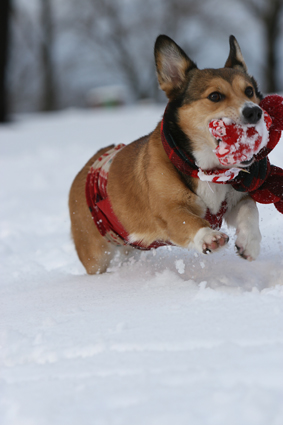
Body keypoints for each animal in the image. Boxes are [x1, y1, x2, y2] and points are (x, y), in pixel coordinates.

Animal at [70, 36, 266, 274]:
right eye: (215, 96)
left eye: (249, 91)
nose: (254, 111)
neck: (205, 169)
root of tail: (87, 167)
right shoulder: (168, 211)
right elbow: (188, 221)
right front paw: (209, 237)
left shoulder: (235, 200)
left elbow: (250, 209)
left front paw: (249, 243)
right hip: (95, 254)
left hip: (128, 246)